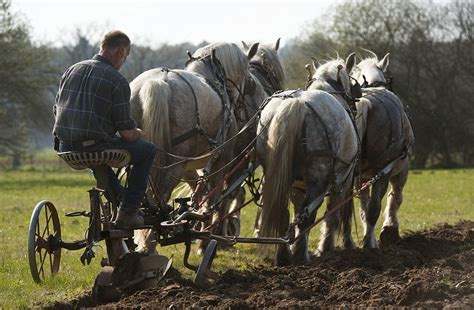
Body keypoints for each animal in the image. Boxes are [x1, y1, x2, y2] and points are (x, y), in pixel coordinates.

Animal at [130, 41, 260, 254]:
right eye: (247, 69)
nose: (252, 85)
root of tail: (157, 83)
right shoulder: (222, 160)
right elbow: (215, 198)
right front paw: (206, 239)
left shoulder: (189, 167)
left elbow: (200, 195)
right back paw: (149, 244)